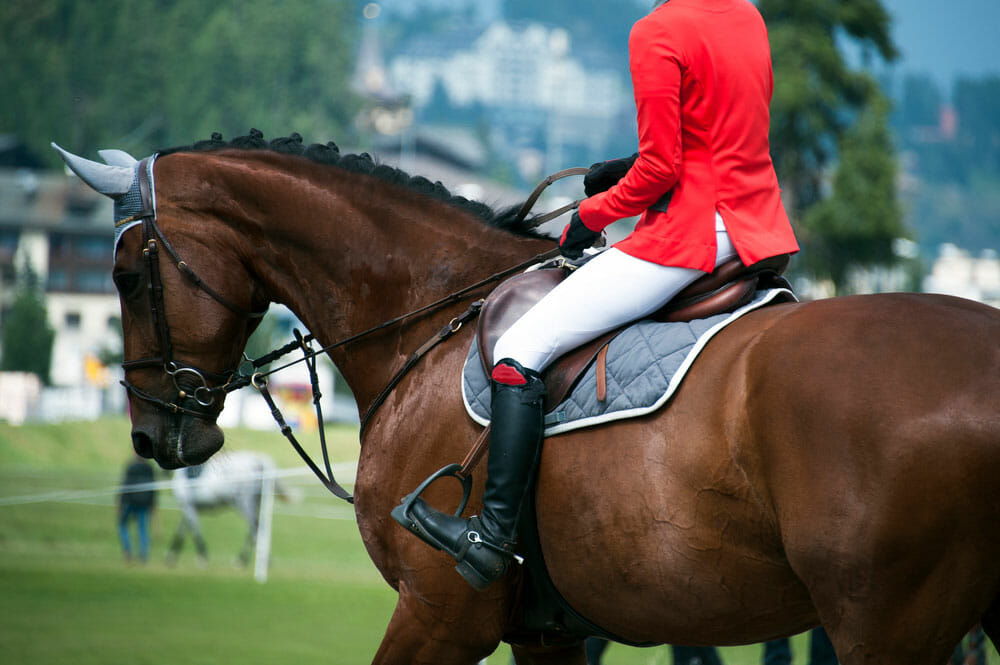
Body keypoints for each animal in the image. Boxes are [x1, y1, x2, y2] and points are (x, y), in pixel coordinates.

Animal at [52, 135, 1000, 664]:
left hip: (886, 625)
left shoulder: (439, 613)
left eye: (125, 274)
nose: (155, 435)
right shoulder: (550, 632)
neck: (428, 316)